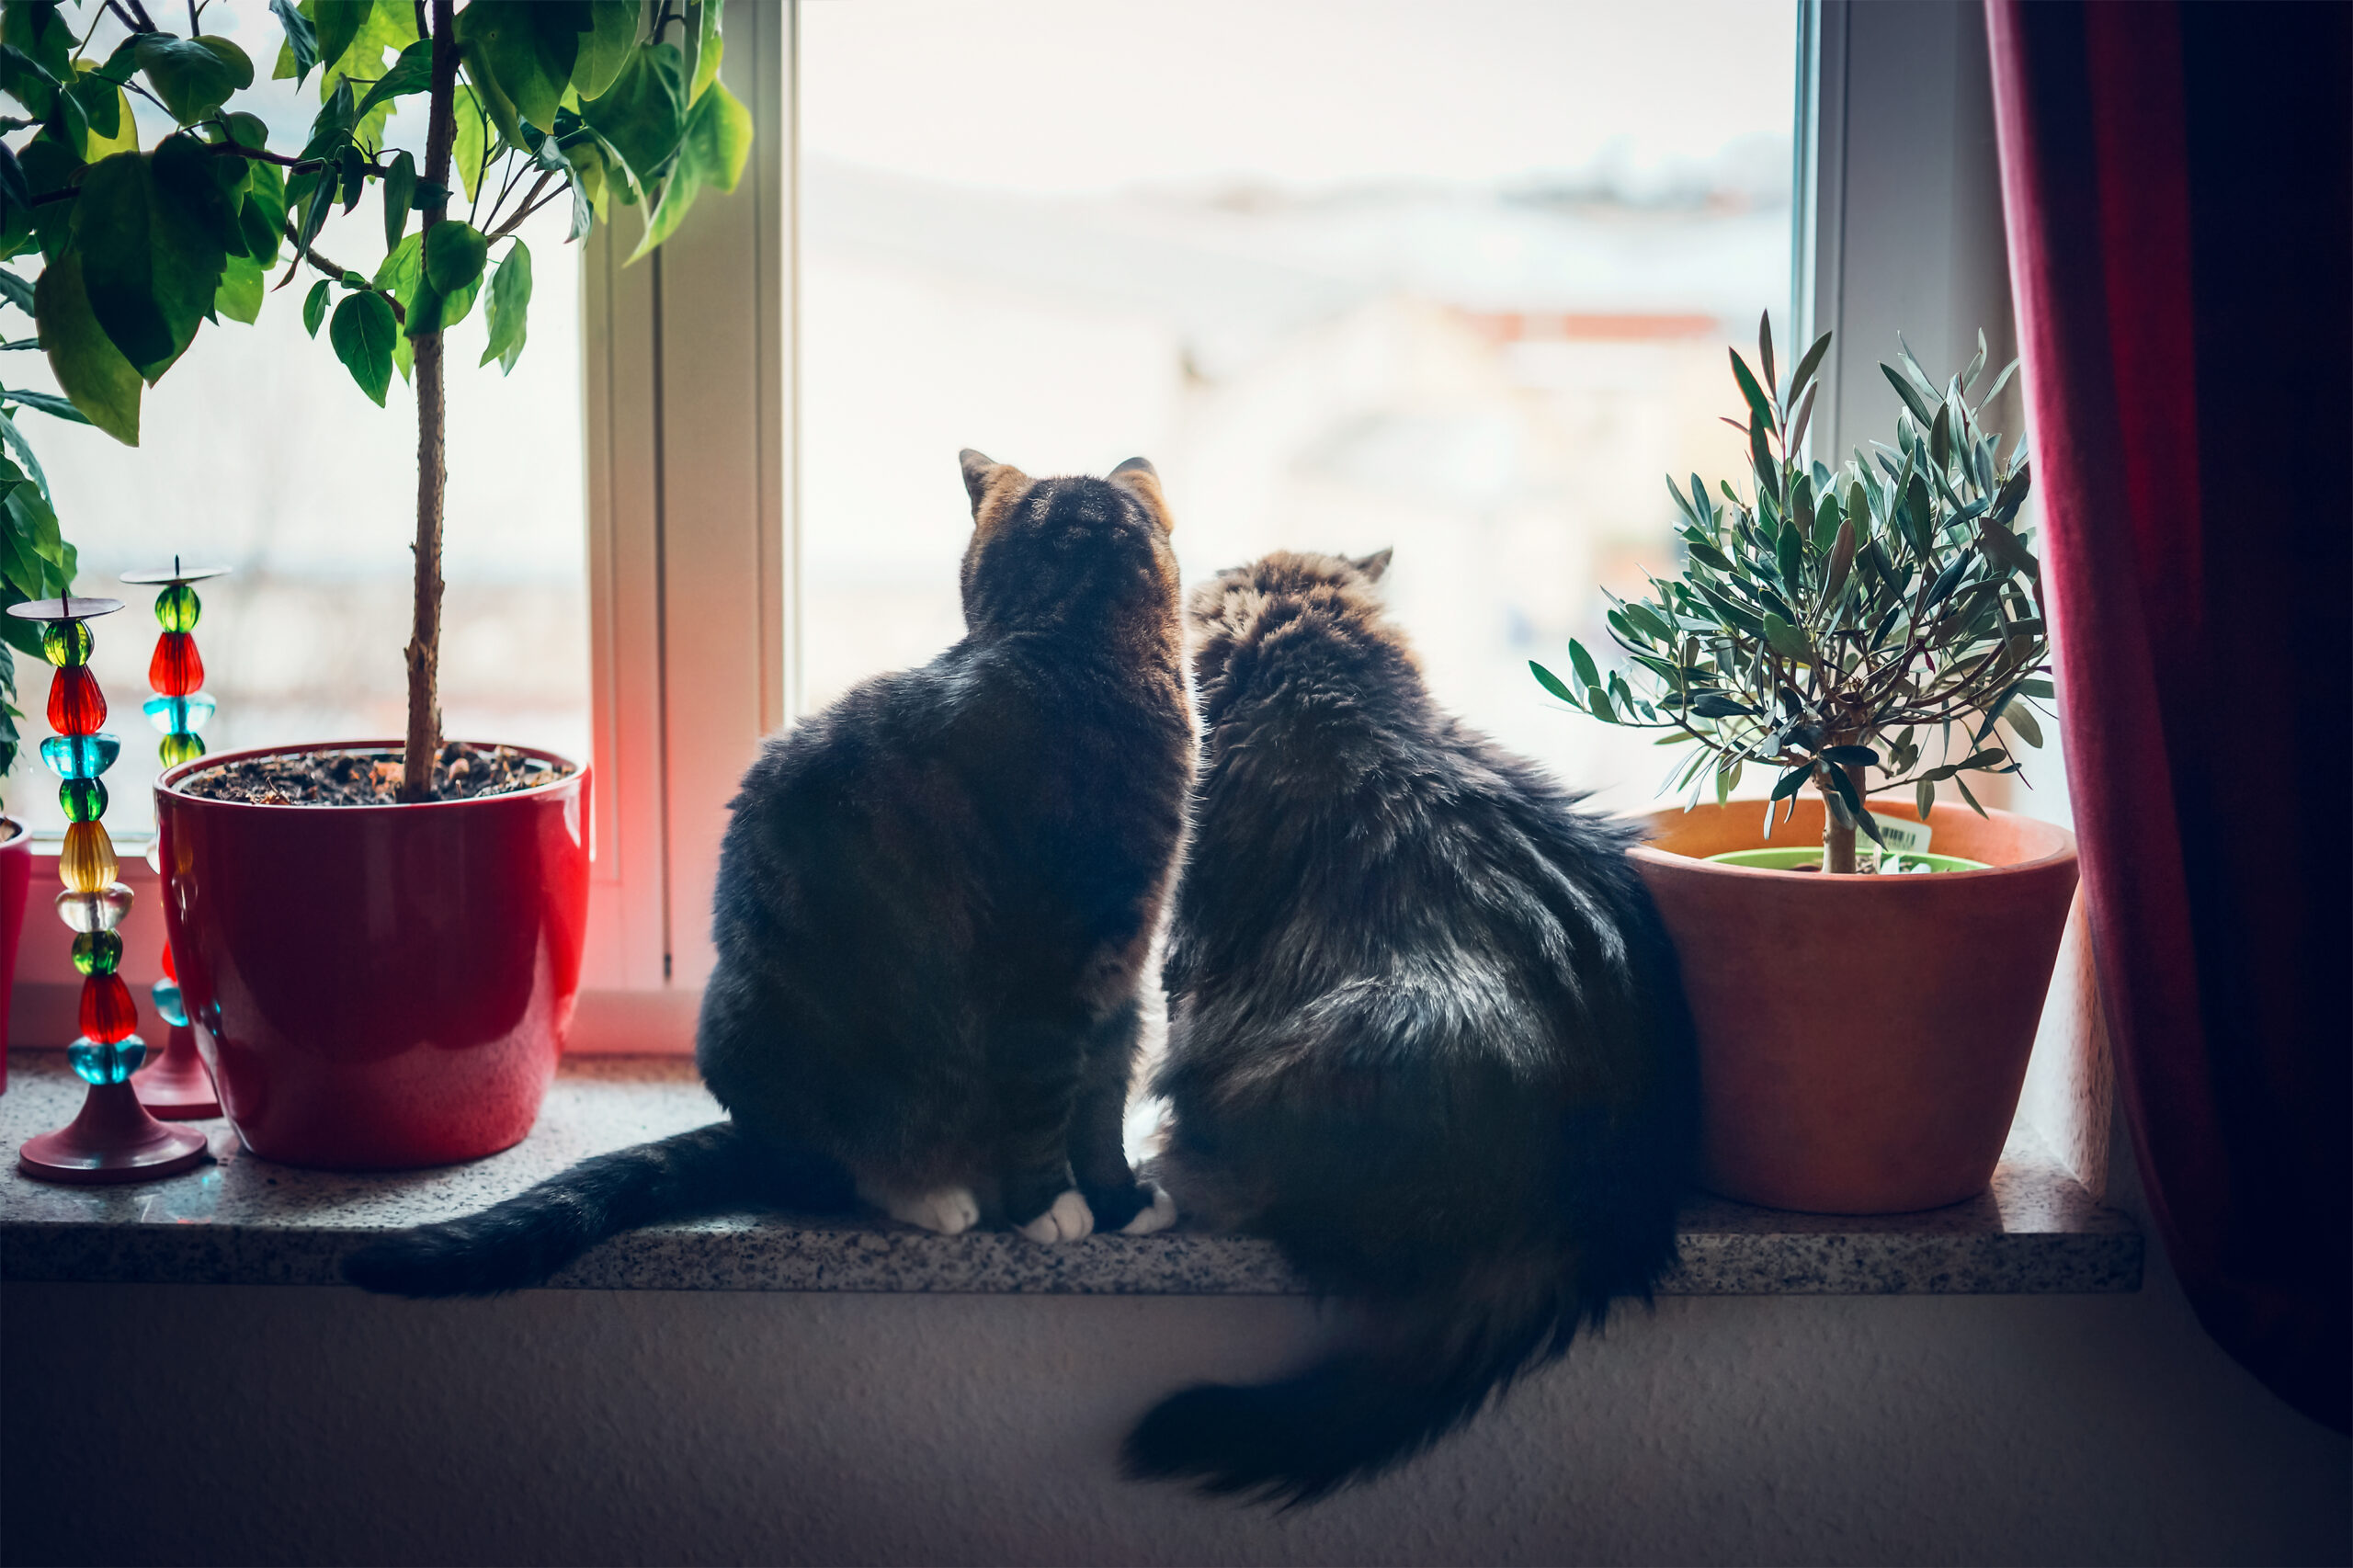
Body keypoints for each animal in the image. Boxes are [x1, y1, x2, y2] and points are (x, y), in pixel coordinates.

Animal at [343, 442, 1195, 1290]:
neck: (1075, 644)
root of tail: (757, 1136)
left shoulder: (1118, 978)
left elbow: (1101, 1108)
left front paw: (1119, 1201)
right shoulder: (1042, 983)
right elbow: (1043, 1104)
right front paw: (1048, 1206)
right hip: (778, 1044)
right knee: (841, 1169)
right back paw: (935, 1194)